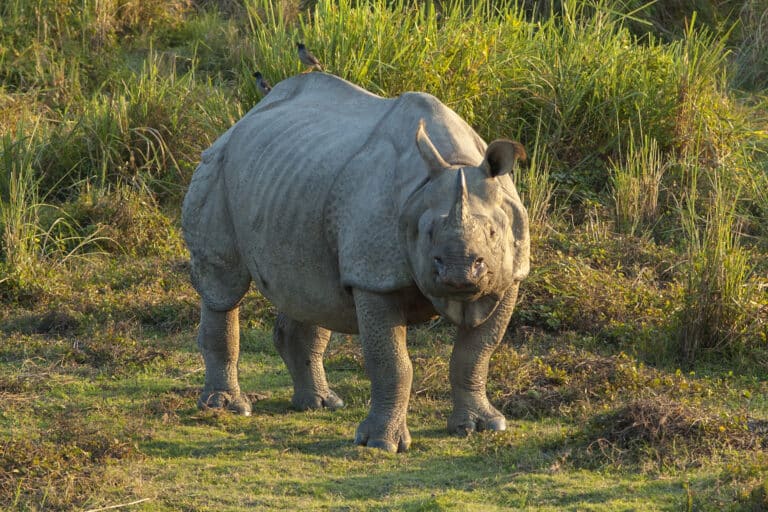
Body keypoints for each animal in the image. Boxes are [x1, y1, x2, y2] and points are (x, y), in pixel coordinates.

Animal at [181, 73, 529, 452]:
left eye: (493, 233)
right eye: (427, 233)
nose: (459, 272)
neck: (455, 161)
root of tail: (241, 120)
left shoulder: (509, 277)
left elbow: (476, 353)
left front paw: (485, 426)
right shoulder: (373, 276)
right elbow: (391, 362)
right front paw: (380, 444)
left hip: (293, 180)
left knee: (311, 290)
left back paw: (321, 404)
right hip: (217, 165)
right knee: (223, 287)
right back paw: (228, 407)